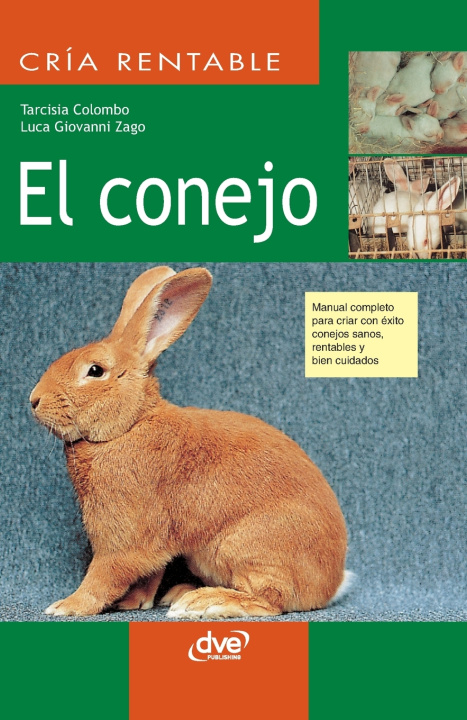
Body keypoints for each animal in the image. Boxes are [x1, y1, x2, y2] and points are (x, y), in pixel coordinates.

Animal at [30, 267, 351, 618]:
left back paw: (205, 602)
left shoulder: (124, 537)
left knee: (270, 600)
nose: (34, 400)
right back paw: (180, 592)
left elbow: (104, 575)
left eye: (95, 370)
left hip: (245, 547)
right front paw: (133, 603)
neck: (130, 425)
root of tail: (331, 585)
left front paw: (67, 606)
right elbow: (149, 574)